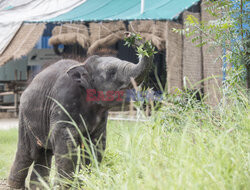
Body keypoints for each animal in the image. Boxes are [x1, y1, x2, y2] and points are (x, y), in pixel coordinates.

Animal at [7, 54, 152, 189]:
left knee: (44, 153)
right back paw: (15, 186)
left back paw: (38, 188)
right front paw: (65, 187)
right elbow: (66, 142)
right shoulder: (63, 103)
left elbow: (95, 144)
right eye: (112, 71)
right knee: (27, 152)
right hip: (25, 119)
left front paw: (86, 184)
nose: (143, 47)